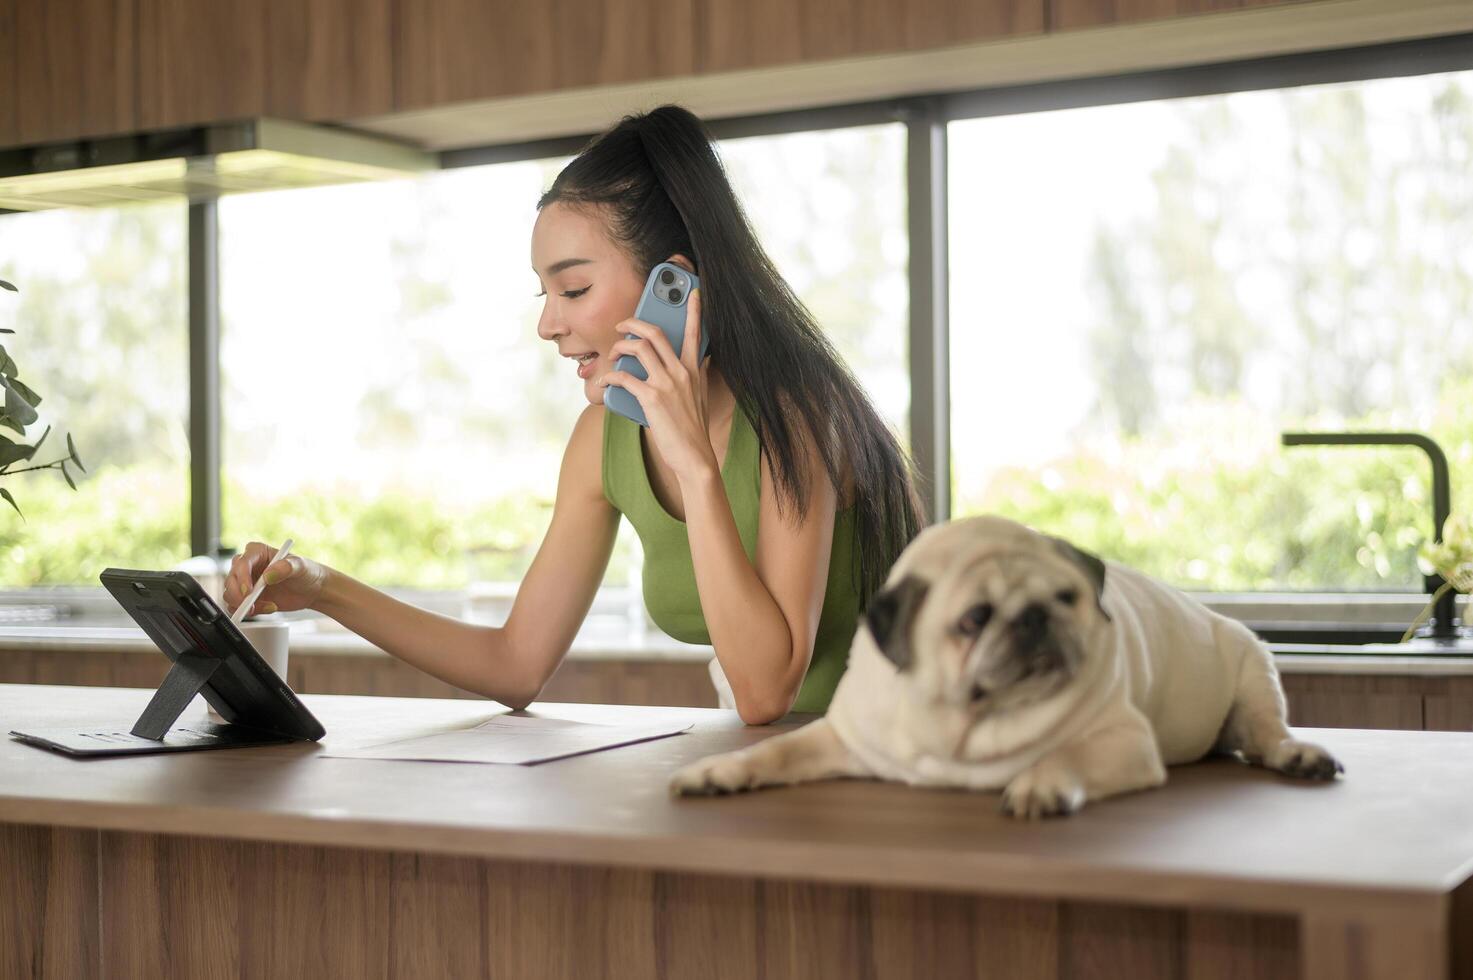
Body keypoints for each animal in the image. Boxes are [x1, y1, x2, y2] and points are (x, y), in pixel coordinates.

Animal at [674, 515, 1343, 813]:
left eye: (1068, 597)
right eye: (974, 619)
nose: (1035, 618)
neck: (966, 726)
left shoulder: (1121, 741)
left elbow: (1066, 756)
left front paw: (1040, 784)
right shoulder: (842, 739)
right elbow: (773, 752)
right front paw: (718, 772)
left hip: (1254, 674)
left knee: (1268, 733)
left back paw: (1300, 756)